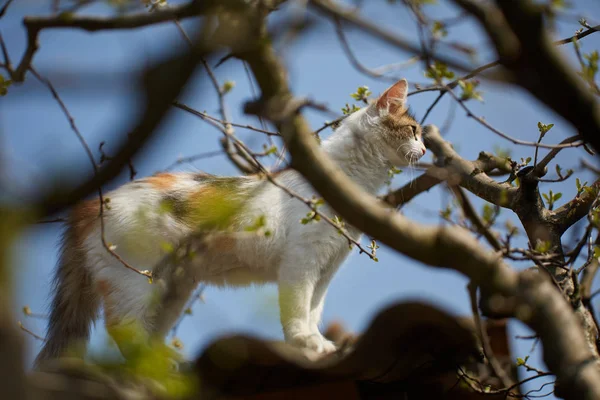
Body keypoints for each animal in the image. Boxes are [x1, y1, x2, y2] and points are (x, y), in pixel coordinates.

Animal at [35, 77, 426, 362]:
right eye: (414, 130)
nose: (425, 150)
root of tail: (89, 204)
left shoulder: (328, 266)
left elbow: (314, 309)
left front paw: (318, 341)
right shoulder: (301, 262)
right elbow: (298, 309)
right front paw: (305, 342)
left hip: (170, 290)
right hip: (132, 280)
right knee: (125, 330)